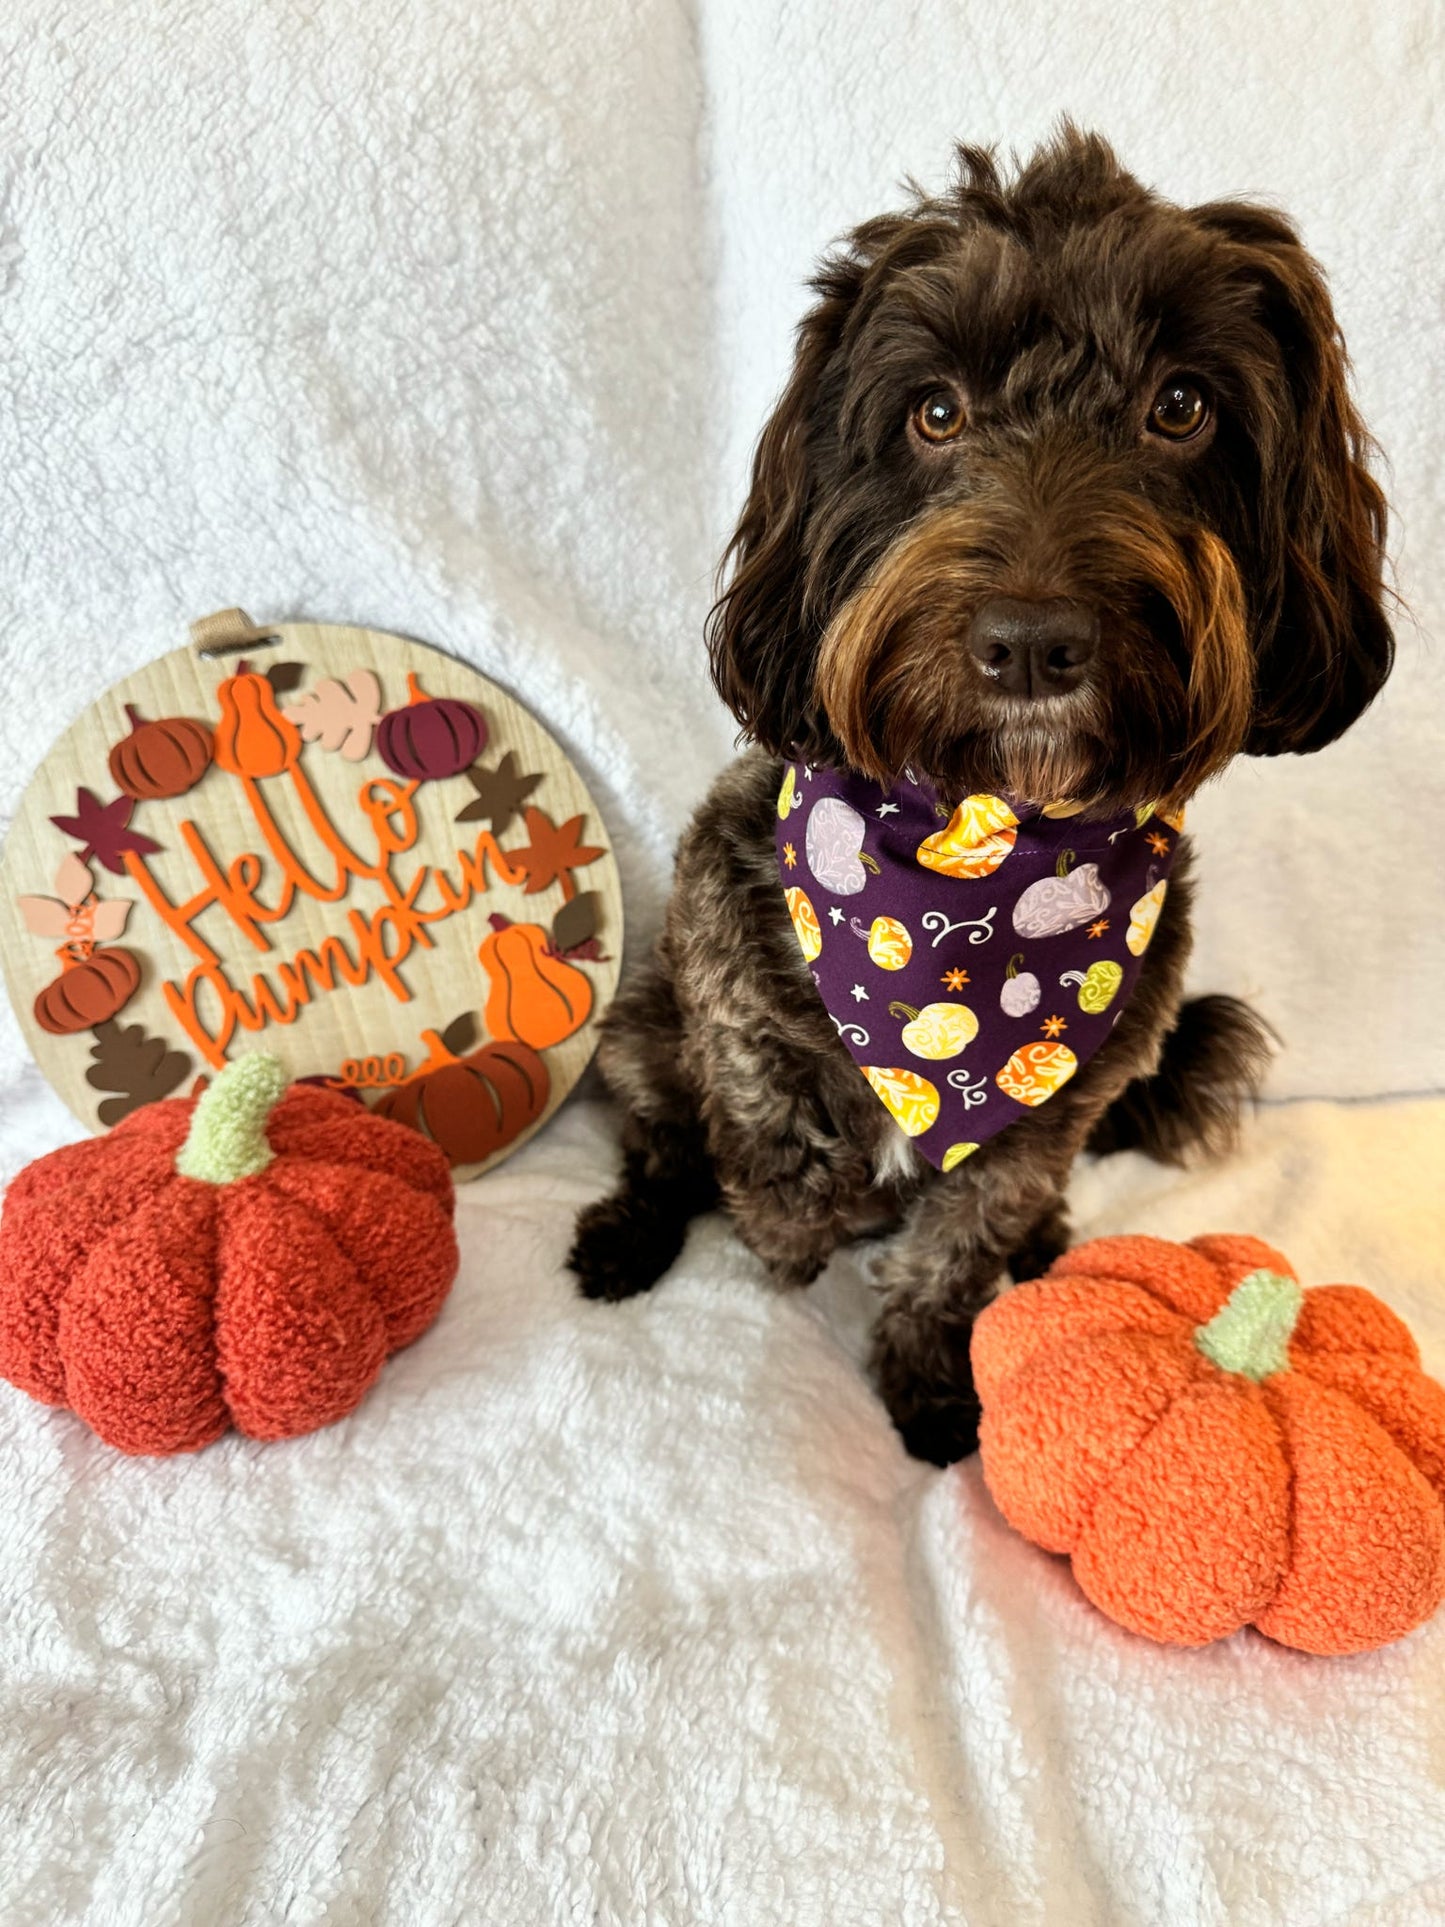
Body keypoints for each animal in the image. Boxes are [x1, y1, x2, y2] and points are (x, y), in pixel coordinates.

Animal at [570, 124, 1394, 1456]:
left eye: (1180, 405)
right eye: (935, 411)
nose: (1031, 641)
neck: (988, 833)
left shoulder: (1054, 1108)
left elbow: (959, 1239)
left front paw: (927, 1368)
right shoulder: (727, 961)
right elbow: (765, 1129)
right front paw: (797, 1222)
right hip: (639, 1029)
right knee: (660, 1143)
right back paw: (634, 1230)